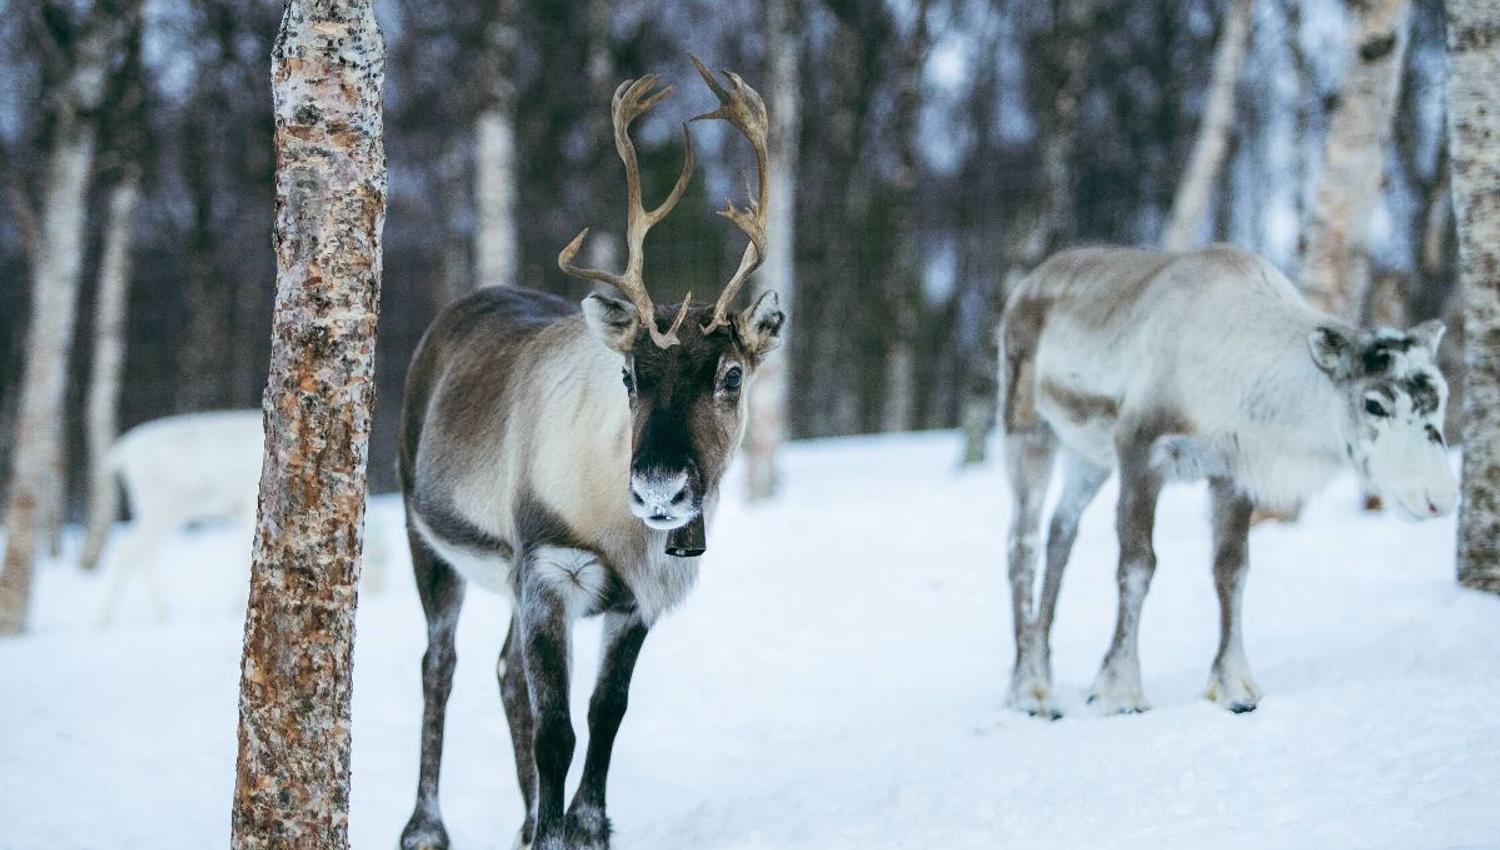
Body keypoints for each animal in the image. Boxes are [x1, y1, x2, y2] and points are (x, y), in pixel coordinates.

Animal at [397, 59, 783, 850]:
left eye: (731, 376)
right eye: (631, 376)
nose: (661, 488)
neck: (618, 527)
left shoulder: (636, 601)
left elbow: (606, 715)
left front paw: (584, 825)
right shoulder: (549, 569)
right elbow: (558, 733)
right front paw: (552, 832)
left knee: (503, 673)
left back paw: (519, 819)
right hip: (426, 537)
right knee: (439, 663)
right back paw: (425, 826)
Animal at [998, 244, 1457, 719]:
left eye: (1441, 395)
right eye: (1374, 403)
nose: (1439, 497)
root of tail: (1028, 282)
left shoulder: (1233, 474)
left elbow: (1231, 570)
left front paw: (1233, 687)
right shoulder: (1140, 451)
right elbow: (1137, 565)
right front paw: (1119, 690)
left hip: (1088, 457)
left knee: (1061, 530)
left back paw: (1043, 672)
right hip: (1028, 429)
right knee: (1022, 542)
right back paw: (1027, 689)